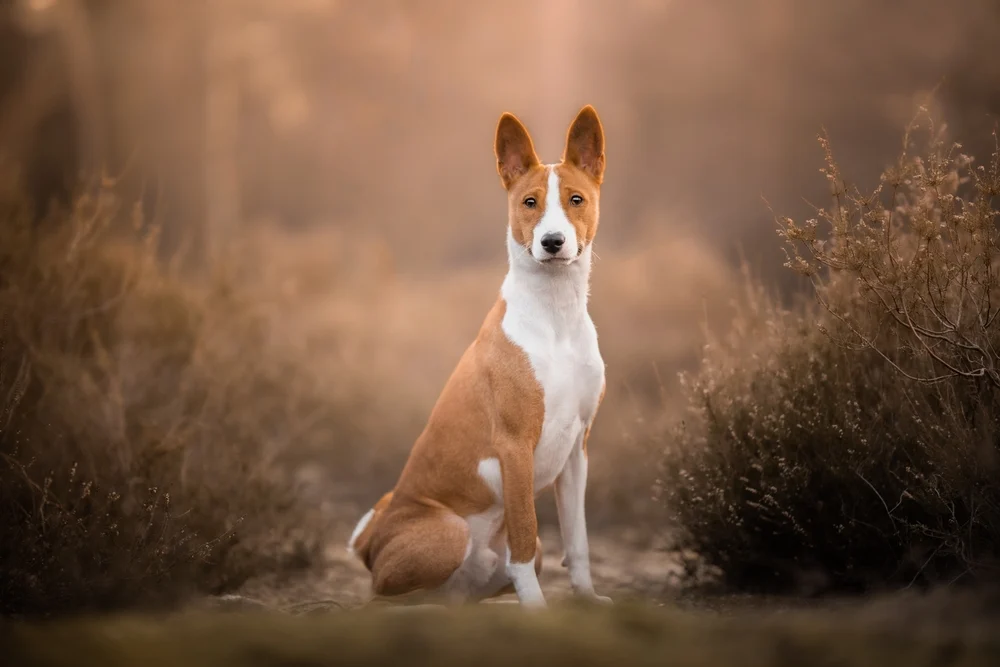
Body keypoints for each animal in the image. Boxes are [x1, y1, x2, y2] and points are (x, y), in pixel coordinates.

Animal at [344, 105, 608, 612]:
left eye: (576, 199)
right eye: (529, 203)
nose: (552, 242)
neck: (556, 317)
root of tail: (371, 540)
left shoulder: (578, 452)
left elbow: (580, 539)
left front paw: (586, 599)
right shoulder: (515, 447)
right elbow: (524, 533)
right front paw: (538, 611)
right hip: (447, 531)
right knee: (380, 595)